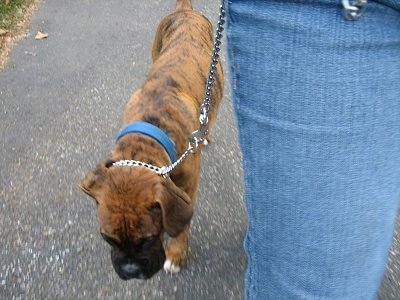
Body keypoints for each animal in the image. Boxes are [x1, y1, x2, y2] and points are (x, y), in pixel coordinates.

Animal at [78, 0, 222, 282]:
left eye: (148, 239)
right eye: (108, 239)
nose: (130, 271)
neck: (148, 134)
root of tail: (185, 10)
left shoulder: (187, 189)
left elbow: (181, 226)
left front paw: (176, 254)